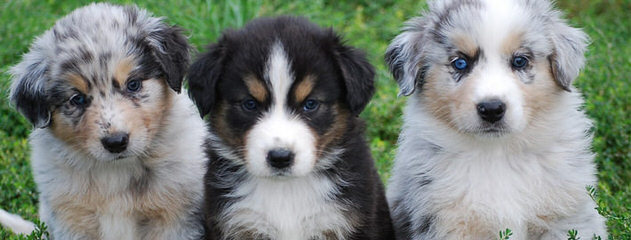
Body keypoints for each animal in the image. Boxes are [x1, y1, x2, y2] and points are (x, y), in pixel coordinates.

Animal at [3, 2, 209, 239]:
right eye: (77, 99)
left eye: (133, 84)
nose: (116, 142)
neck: (115, 171)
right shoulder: (71, 219)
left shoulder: (174, 218)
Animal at [386, 0, 608, 240]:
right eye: (461, 63)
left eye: (520, 61)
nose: (492, 109)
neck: (498, 153)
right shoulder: (447, 222)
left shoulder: (568, 218)